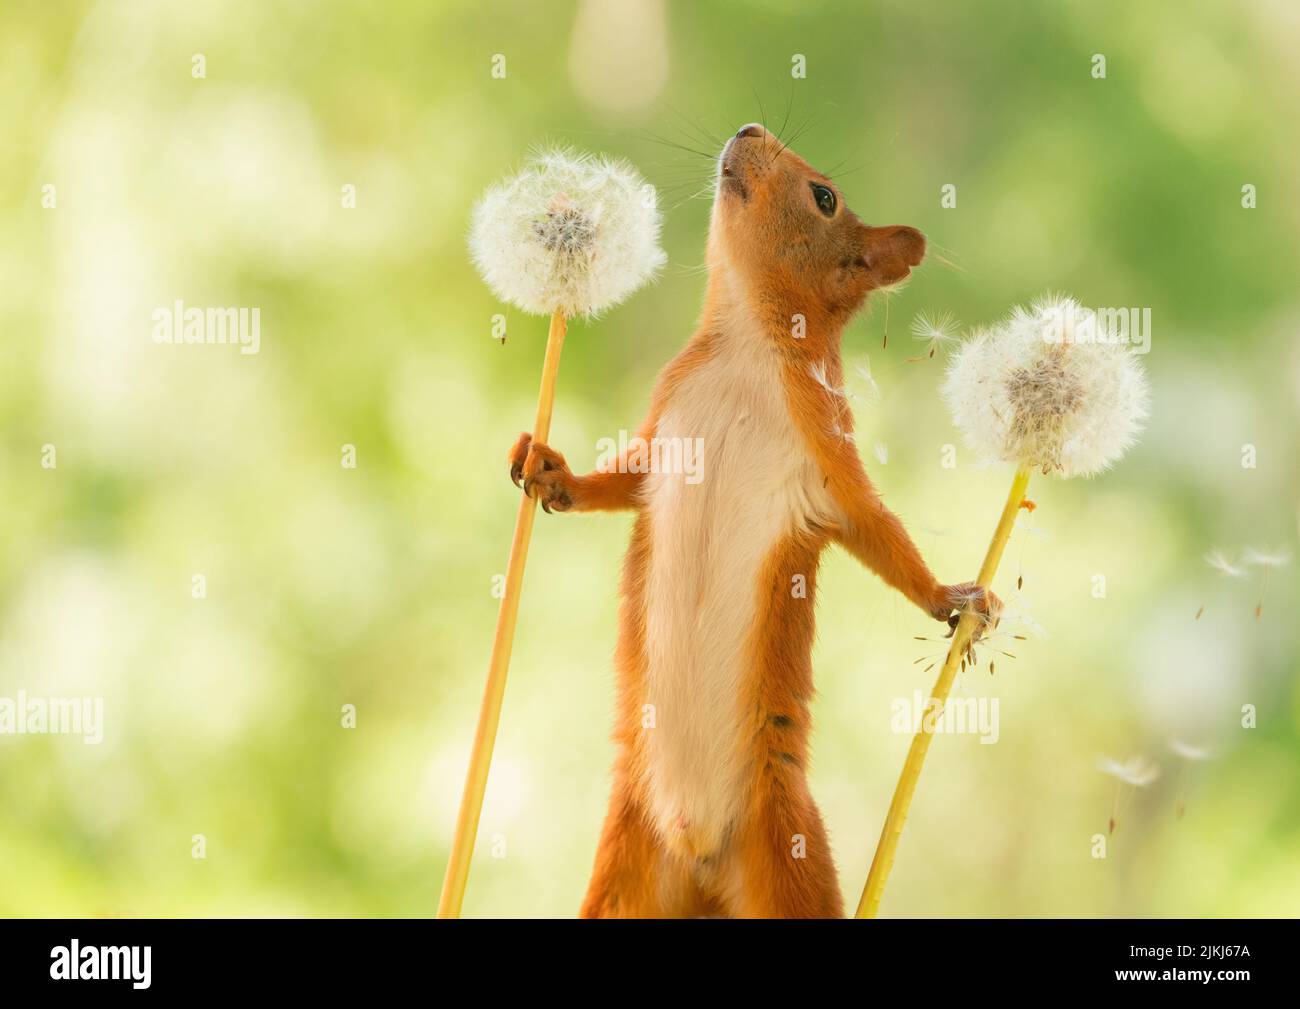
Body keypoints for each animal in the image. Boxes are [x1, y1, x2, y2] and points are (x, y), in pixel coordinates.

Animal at [506, 122, 993, 920]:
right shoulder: (664, 434)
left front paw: (952, 598)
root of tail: (699, 854)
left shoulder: (827, 453)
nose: (750, 129)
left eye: (825, 197)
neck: (740, 346)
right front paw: (552, 472)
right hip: (624, 873)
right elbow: (622, 481)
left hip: (786, 855)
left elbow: (878, 531)